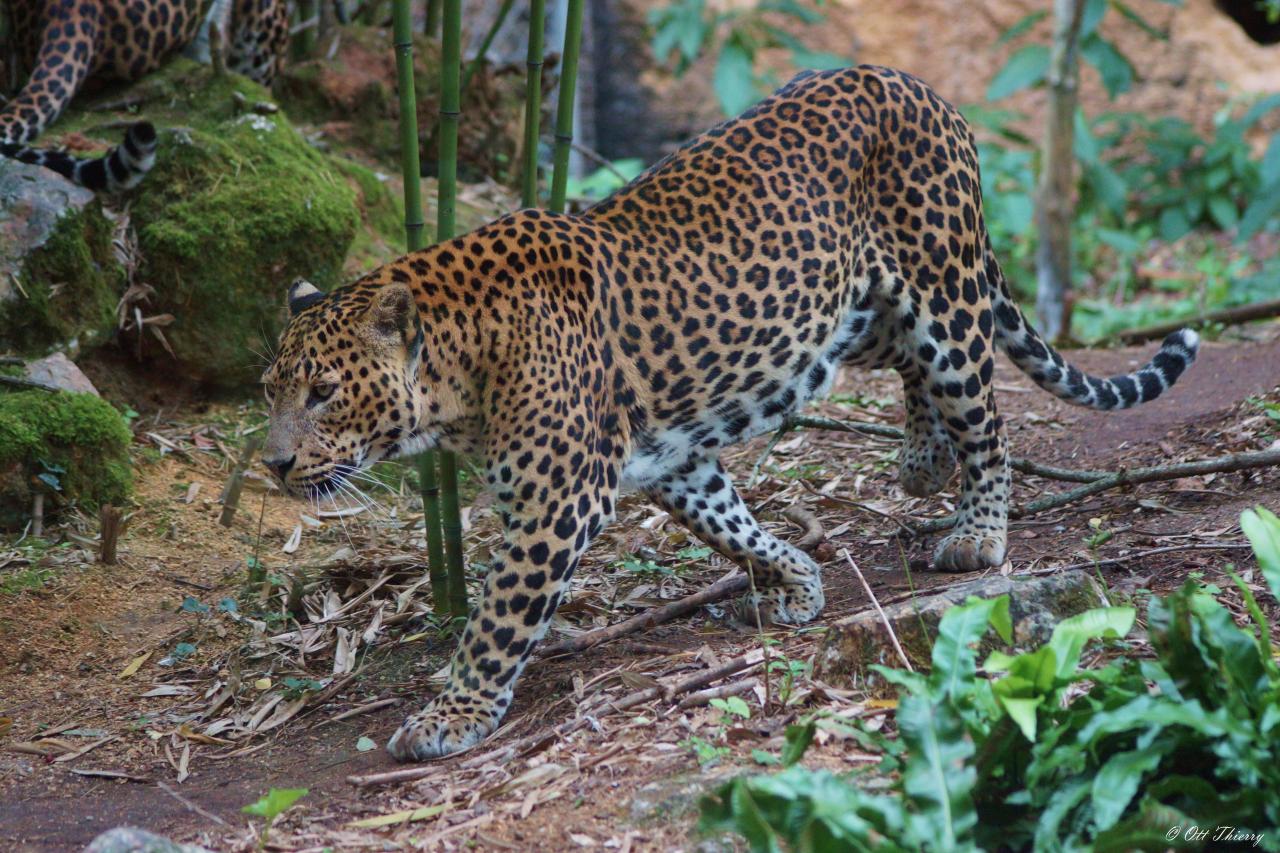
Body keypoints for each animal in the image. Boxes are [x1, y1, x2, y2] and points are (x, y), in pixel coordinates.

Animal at [259, 64, 1198, 758]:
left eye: (324, 391)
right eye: (271, 391)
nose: (273, 462)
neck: (457, 370)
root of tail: (916, 84)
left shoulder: (558, 502)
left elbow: (498, 620)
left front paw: (450, 717)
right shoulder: (672, 459)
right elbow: (732, 523)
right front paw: (796, 584)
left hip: (945, 293)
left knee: (986, 418)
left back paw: (977, 529)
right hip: (849, 310)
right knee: (908, 368)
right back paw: (922, 459)